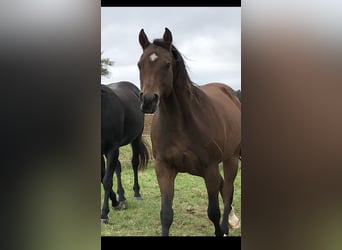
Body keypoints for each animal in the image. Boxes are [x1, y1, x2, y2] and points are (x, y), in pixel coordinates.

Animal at [101, 81, 150, 224]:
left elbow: (107, 181)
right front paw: (116, 202)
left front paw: (104, 214)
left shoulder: (112, 148)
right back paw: (122, 197)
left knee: (134, 163)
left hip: (136, 138)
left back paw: (137, 193)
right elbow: (103, 177)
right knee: (118, 167)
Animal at [138, 28, 242, 235]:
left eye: (167, 64)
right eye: (139, 64)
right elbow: (166, 215)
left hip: (231, 159)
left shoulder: (210, 169)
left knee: (227, 192)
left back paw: (227, 225)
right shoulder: (164, 168)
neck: (181, 123)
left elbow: (214, 212)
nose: (148, 101)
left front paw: (220, 229)